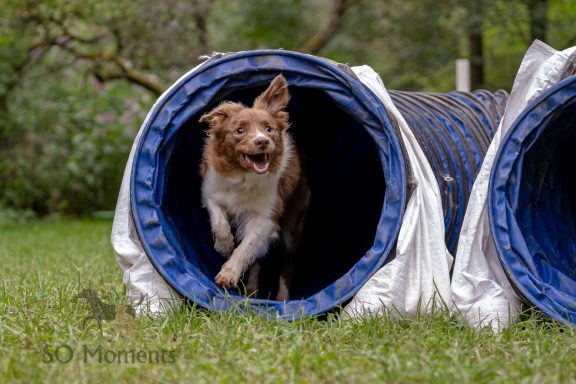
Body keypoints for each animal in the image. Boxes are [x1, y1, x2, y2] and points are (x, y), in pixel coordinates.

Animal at [198, 73, 308, 300]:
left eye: (269, 129)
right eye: (239, 130)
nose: (262, 141)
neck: (243, 176)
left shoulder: (266, 218)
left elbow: (245, 248)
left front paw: (228, 274)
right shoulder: (210, 191)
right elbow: (219, 222)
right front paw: (224, 246)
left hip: (293, 227)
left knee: (287, 264)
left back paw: (283, 299)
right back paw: (251, 289)